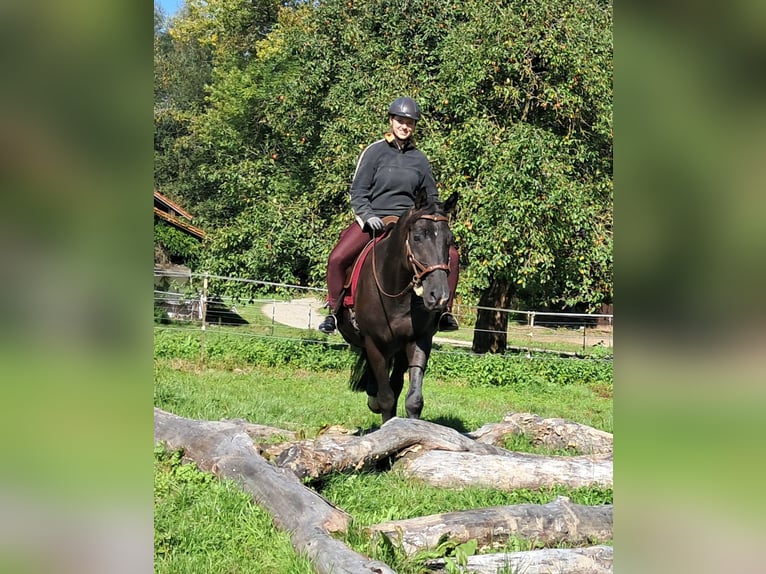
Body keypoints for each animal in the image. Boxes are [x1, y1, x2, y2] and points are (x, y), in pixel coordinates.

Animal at [338, 189, 460, 424]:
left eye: (449, 239)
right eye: (418, 236)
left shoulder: (418, 340)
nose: (438, 296)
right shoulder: (374, 345)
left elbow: (412, 398)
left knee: (395, 384)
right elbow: (385, 398)